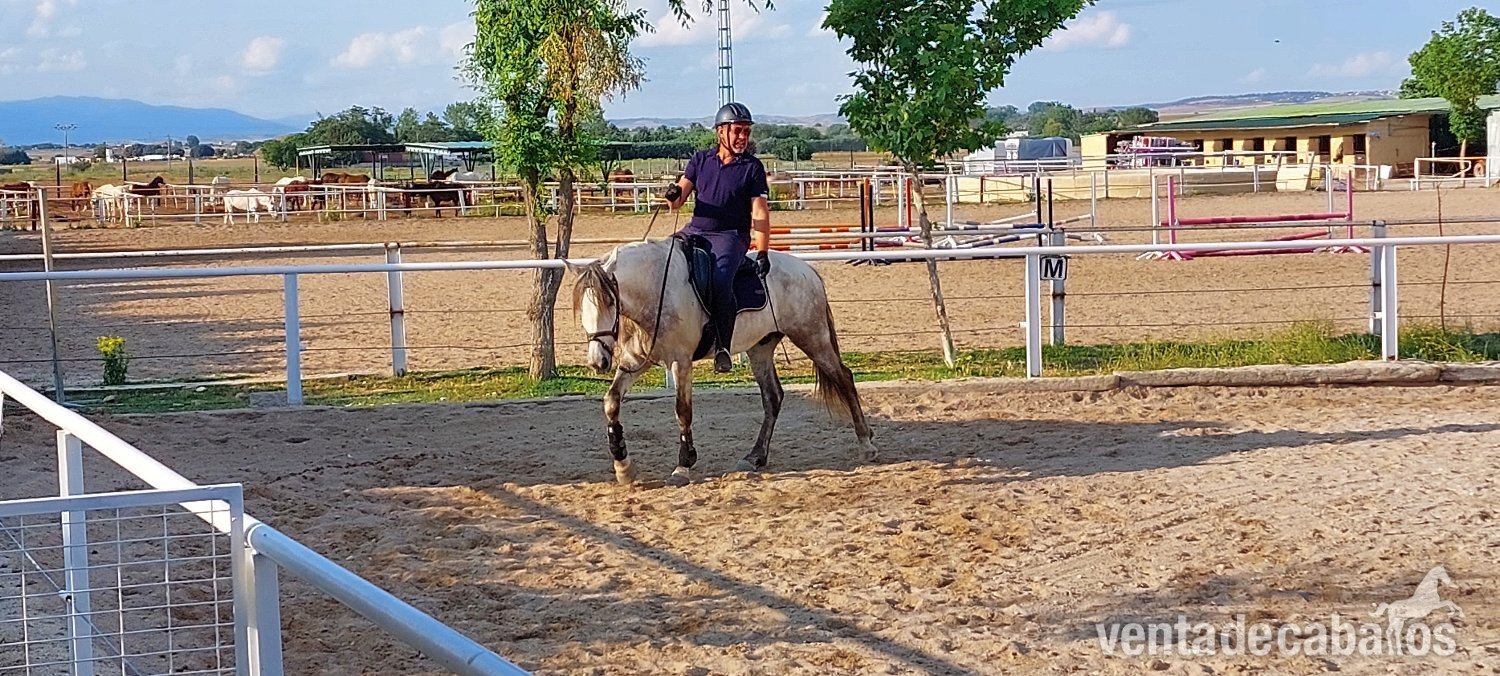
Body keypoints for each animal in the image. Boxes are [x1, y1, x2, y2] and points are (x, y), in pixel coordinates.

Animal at [570, 237, 877, 486]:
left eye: (610, 302)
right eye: (582, 307)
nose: (598, 361)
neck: (656, 289)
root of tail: (806, 270)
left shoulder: (681, 362)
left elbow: (683, 411)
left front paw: (683, 466)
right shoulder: (636, 361)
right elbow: (611, 402)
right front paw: (623, 466)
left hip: (813, 338)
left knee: (844, 378)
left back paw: (866, 443)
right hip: (760, 349)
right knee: (773, 397)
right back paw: (755, 456)